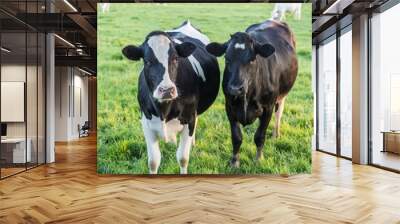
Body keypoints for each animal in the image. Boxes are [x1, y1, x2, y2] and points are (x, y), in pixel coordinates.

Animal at [122, 21, 222, 174]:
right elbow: (153, 161)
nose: (167, 90)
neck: (164, 110)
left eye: (175, 59)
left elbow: (183, 158)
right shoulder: (146, 122)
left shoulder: (189, 119)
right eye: (147, 62)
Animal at [206, 20, 296, 167]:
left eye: (252, 59)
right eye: (227, 59)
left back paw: (275, 134)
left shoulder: (268, 108)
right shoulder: (229, 107)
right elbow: (236, 137)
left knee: (279, 113)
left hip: (282, 95)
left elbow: (259, 136)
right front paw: (234, 161)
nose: (235, 88)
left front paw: (259, 159)